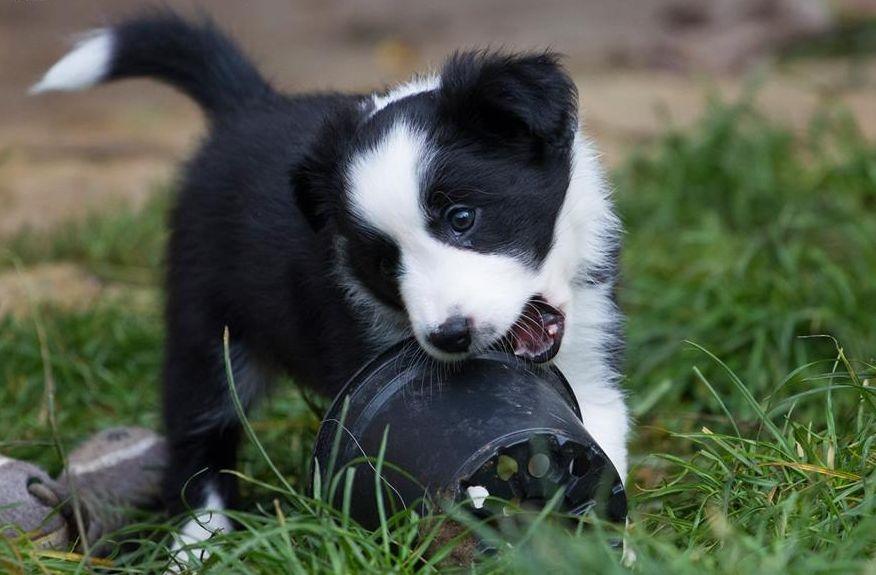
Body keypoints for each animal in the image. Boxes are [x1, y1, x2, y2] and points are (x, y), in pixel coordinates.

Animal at [32, 11, 624, 552]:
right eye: (384, 263)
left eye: (462, 218)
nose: (449, 336)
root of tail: (247, 106)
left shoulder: (592, 363)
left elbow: (597, 451)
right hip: (205, 321)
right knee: (199, 433)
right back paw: (198, 542)